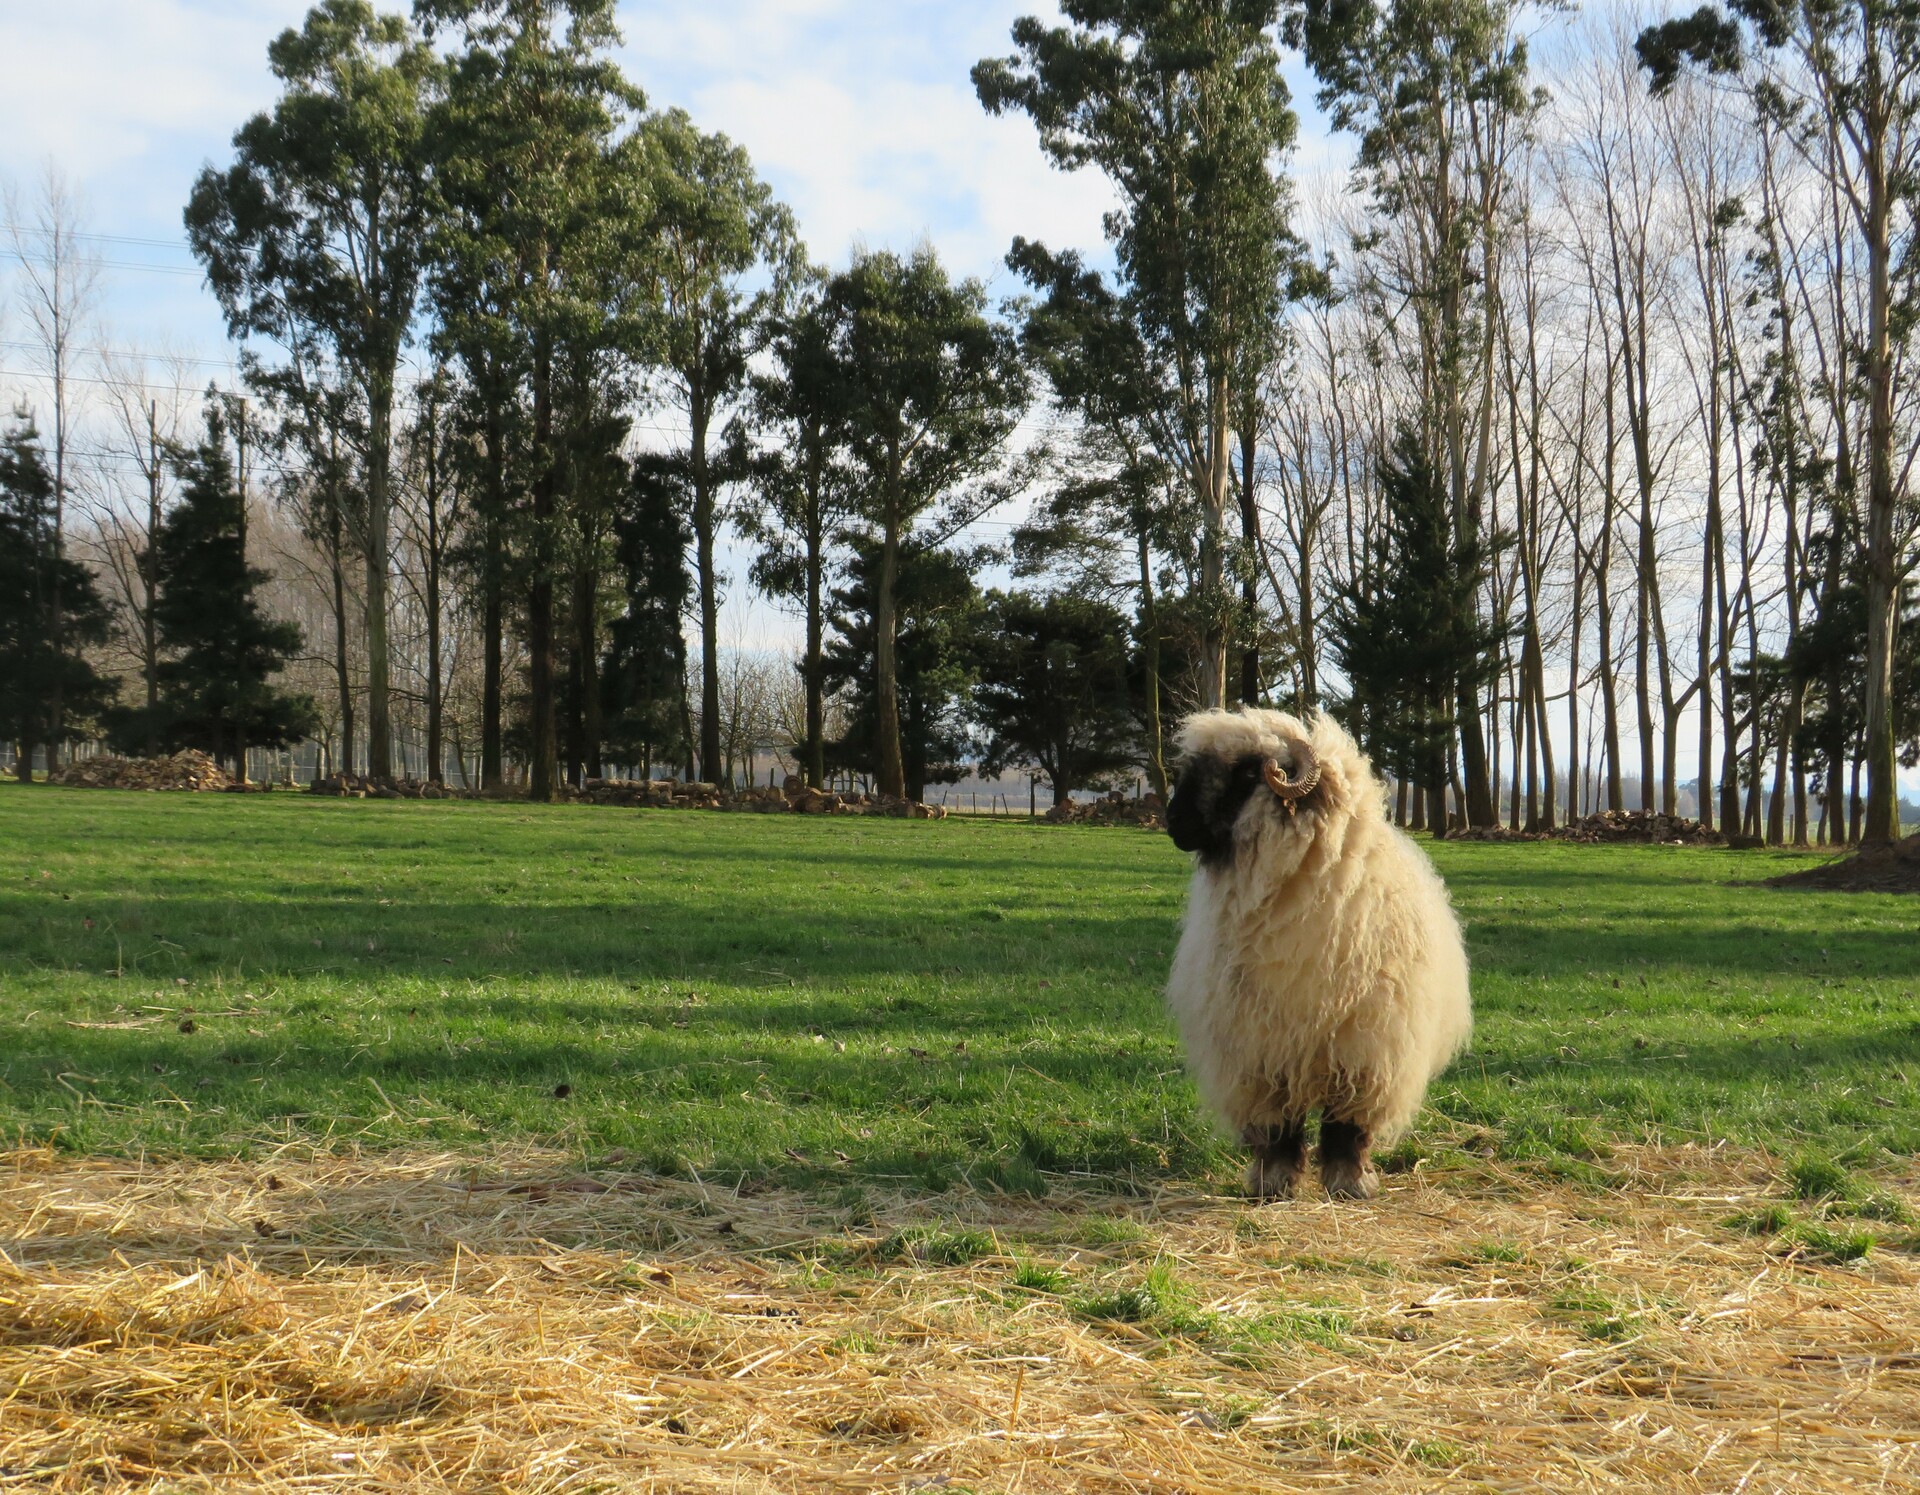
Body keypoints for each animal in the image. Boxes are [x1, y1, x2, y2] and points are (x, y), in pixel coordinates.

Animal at [1163, 707, 1471, 1200]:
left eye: (1247, 773)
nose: (1173, 822)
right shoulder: (1261, 1052)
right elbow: (1277, 1129)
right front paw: (1274, 1183)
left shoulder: (1366, 1053)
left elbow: (1347, 1128)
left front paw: (1350, 1183)